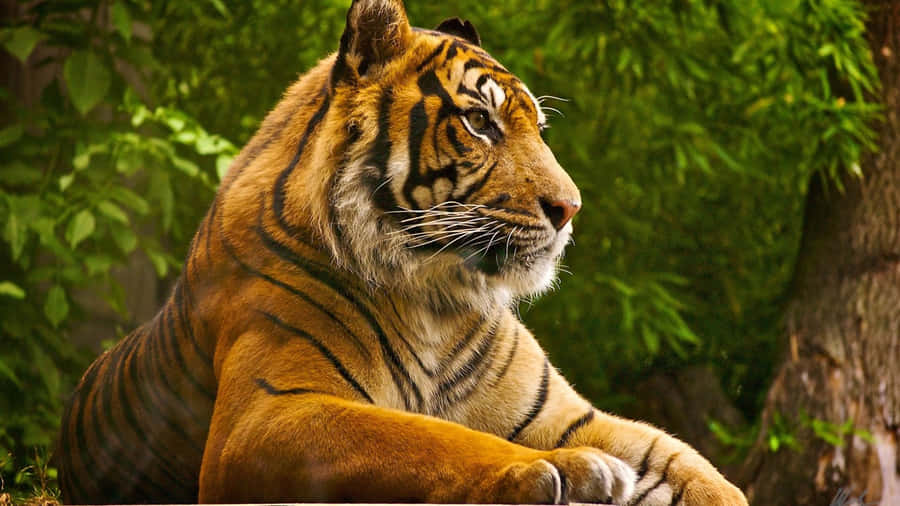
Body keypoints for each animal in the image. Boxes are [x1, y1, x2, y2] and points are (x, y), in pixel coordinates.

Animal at [57, 1, 748, 504]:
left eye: (537, 127)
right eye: (480, 122)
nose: (570, 208)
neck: (438, 297)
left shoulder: (566, 412)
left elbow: (691, 464)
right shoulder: (265, 415)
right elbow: (429, 438)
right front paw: (567, 470)